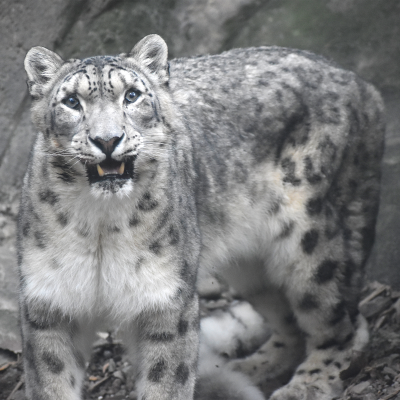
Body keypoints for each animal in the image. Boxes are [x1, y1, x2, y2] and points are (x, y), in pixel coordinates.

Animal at [18, 34, 384, 400]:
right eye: (71, 101)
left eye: (131, 95)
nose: (107, 140)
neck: (100, 226)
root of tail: (359, 83)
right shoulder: (48, 304)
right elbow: (52, 379)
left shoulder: (166, 300)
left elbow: (165, 381)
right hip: (251, 267)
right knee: (291, 326)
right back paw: (243, 370)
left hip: (310, 239)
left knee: (343, 324)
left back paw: (305, 384)